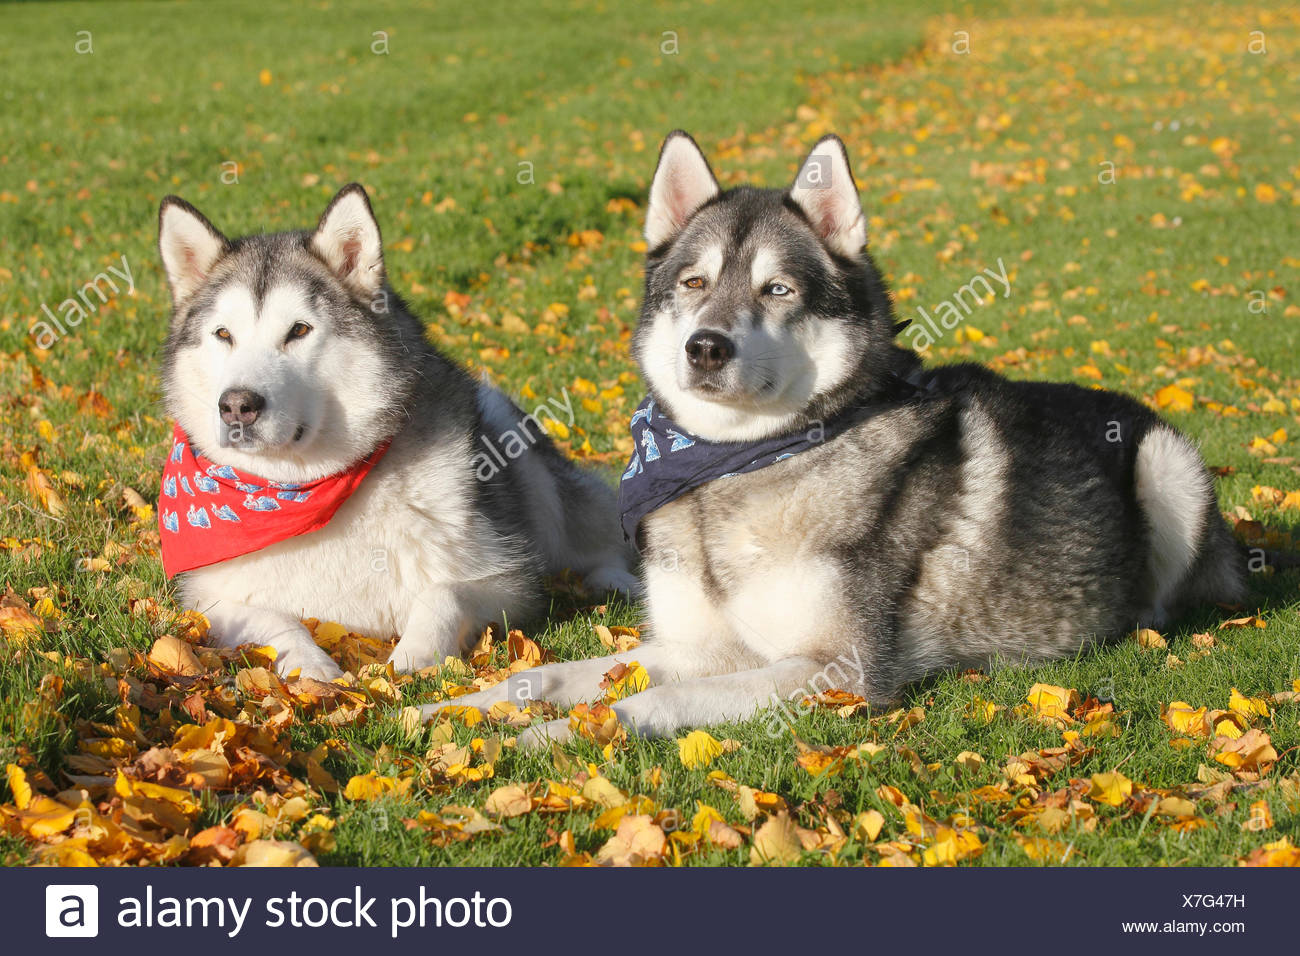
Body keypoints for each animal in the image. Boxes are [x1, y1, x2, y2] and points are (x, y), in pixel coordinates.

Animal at [157, 184, 639, 681]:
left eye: (299, 330)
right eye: (223, 334)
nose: (237, 405)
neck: (300, 491)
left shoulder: (508, 579)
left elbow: (444, 594)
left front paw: (415, 656)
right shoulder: (210, 599)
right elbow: (275, 622)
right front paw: (313, 669)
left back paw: (616, 580)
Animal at [426, 130, 1248, 743]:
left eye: (777, 290)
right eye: (694, 283)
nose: (705, 346)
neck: (727, 468)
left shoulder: (837, 672)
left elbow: (648, 702)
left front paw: (562, 734)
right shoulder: (701, 646)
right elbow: (545, 673)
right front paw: (455, 707)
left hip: (1167, 463)